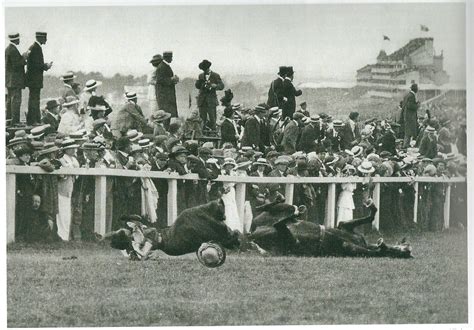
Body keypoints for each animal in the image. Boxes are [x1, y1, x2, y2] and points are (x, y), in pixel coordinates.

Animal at [246, 199, 412, 258]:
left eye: (406, 251)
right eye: (405, 246)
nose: (407, 249)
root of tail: (251, 235)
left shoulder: (350, 247)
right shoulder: (344, 226)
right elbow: (369, 217)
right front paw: (371, 207)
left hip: (287, 238)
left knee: (279, 222)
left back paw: (294, 211)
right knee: (278, 212)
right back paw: (293, 210)